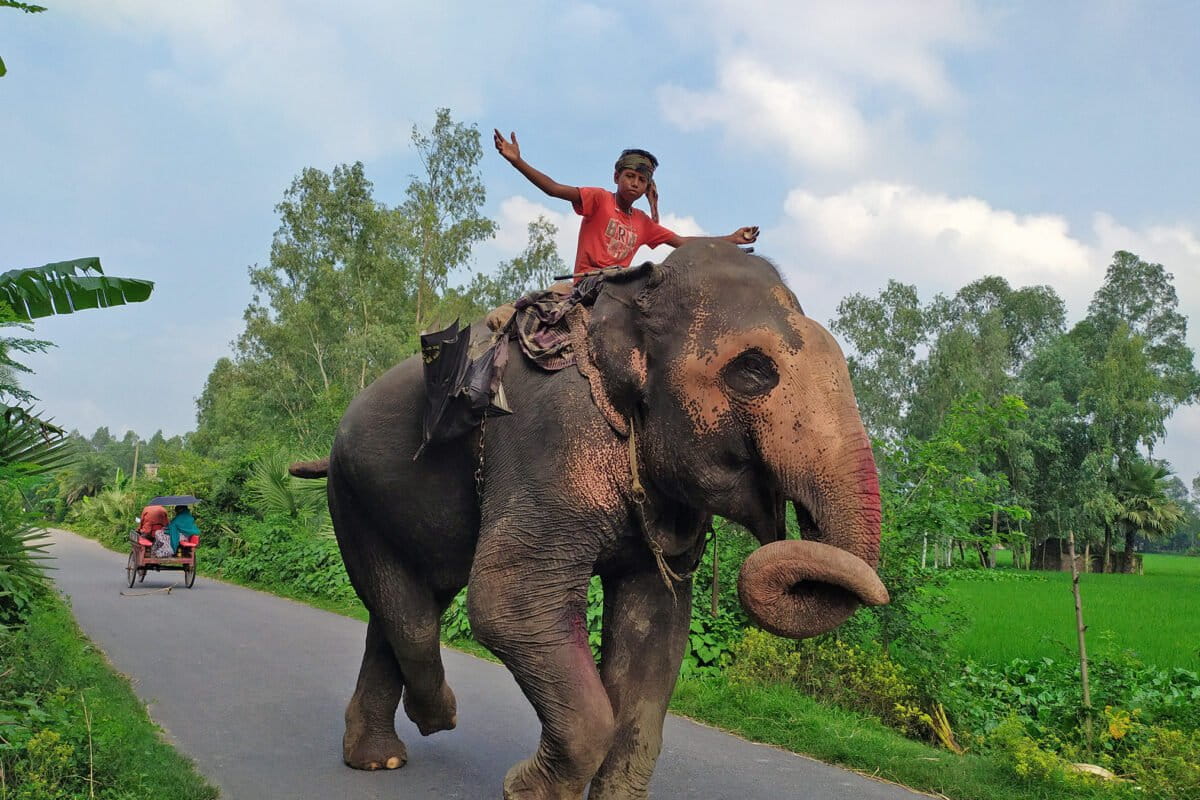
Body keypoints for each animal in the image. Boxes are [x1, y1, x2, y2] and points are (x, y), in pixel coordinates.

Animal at [290, 241, 888, 799]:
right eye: (753, 372)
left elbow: (655, 629)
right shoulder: (551, 435)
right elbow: (509, 602)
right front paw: (523, 792)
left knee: (407, 604)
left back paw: (381, 757)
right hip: (352, 494)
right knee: (407, 607)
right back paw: (436, 718)